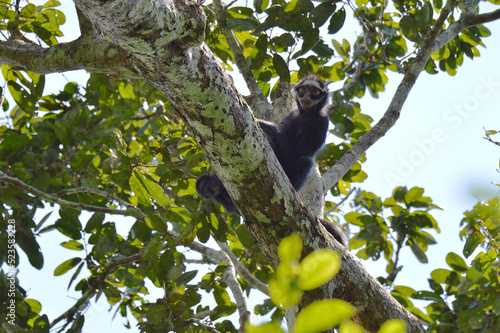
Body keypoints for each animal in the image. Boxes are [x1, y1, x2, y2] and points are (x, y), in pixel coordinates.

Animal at [195, 75, 348, 246]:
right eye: (304, 89)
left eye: (315, 91)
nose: (307, 96)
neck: (306, 115)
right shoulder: (292, 114)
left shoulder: (321, 121)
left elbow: (298, 153)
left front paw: (266, 124)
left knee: (305, 161)